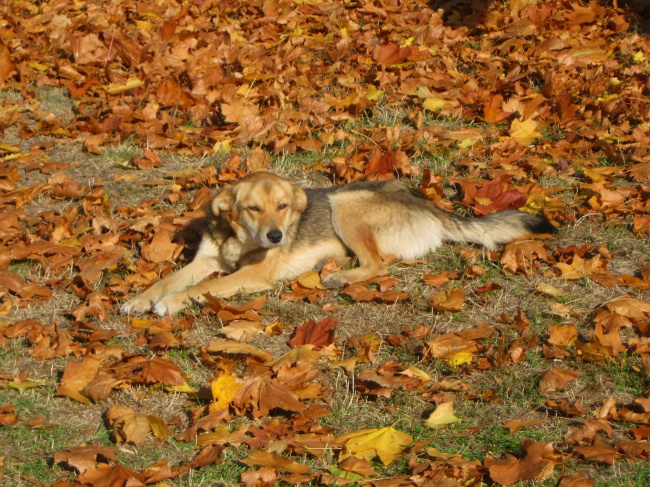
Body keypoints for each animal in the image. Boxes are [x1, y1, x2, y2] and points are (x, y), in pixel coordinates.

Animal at [119, 172, 556, 316]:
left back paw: (338, 279)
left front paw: (170, 304)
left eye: (283, 207)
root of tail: (423, 200)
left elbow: (198, 289)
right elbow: (167, 281)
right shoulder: (202, 262)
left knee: (379, 265)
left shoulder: (253, 275)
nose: (277, 236)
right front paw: (139, 299)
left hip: (343, 205)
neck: (238, 241)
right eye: (253, 208)